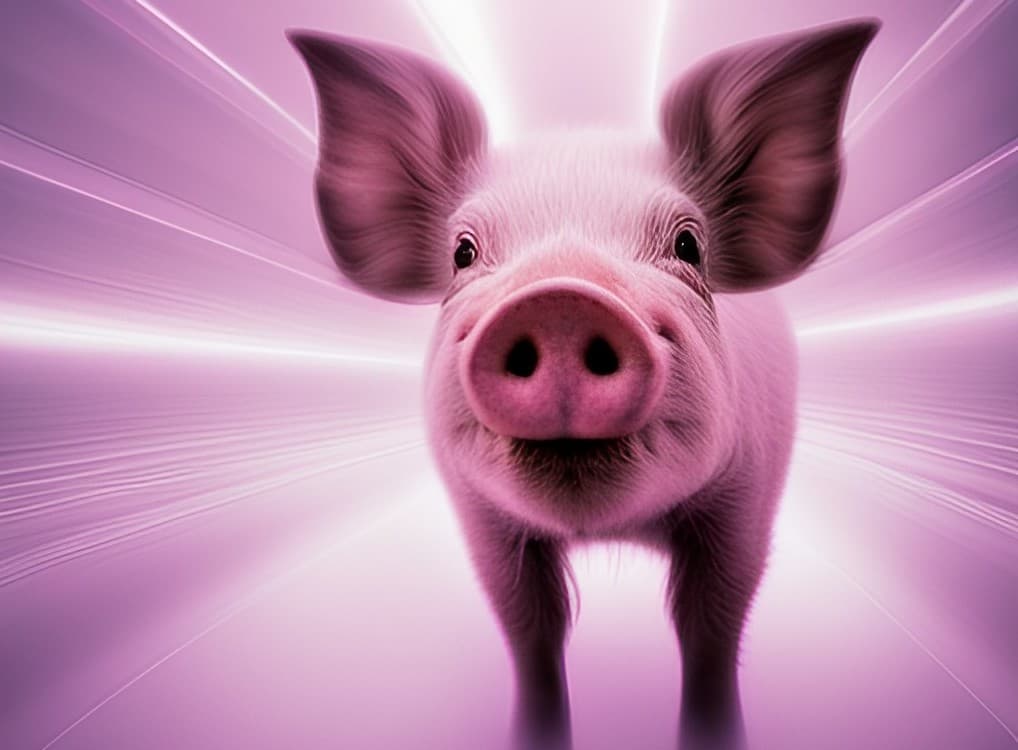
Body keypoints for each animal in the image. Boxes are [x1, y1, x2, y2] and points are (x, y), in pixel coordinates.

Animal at [290, 18, 878, 750]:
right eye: (463, 253)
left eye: (689, 246)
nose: (562, 300)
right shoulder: (481, 515)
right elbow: (530, 626)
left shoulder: (749, 489)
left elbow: (712, 618)